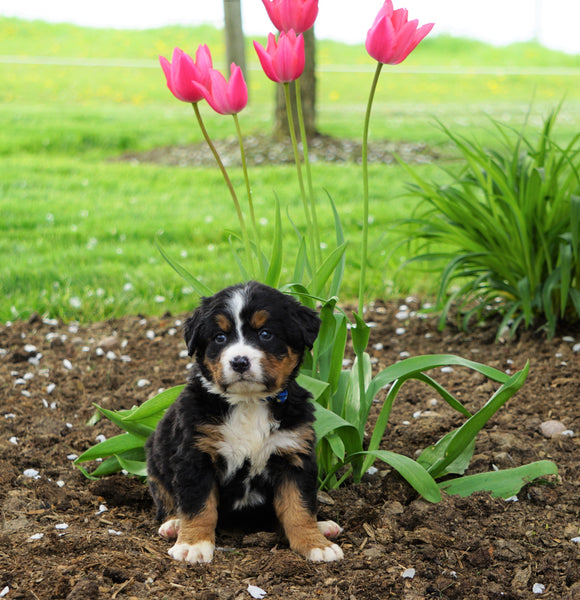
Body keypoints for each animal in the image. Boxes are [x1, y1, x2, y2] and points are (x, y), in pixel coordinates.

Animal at [146, 282, 344, 564]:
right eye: (220, 337)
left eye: (265, 334)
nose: (239, 362)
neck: (248, 403)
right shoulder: (195, 456)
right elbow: (198, 506)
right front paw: (193, 544)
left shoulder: (294, 454)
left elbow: (300, 507)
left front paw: (314, 544)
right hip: (156, 462)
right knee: (168, 501)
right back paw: (174, 525)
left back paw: (323, 526)